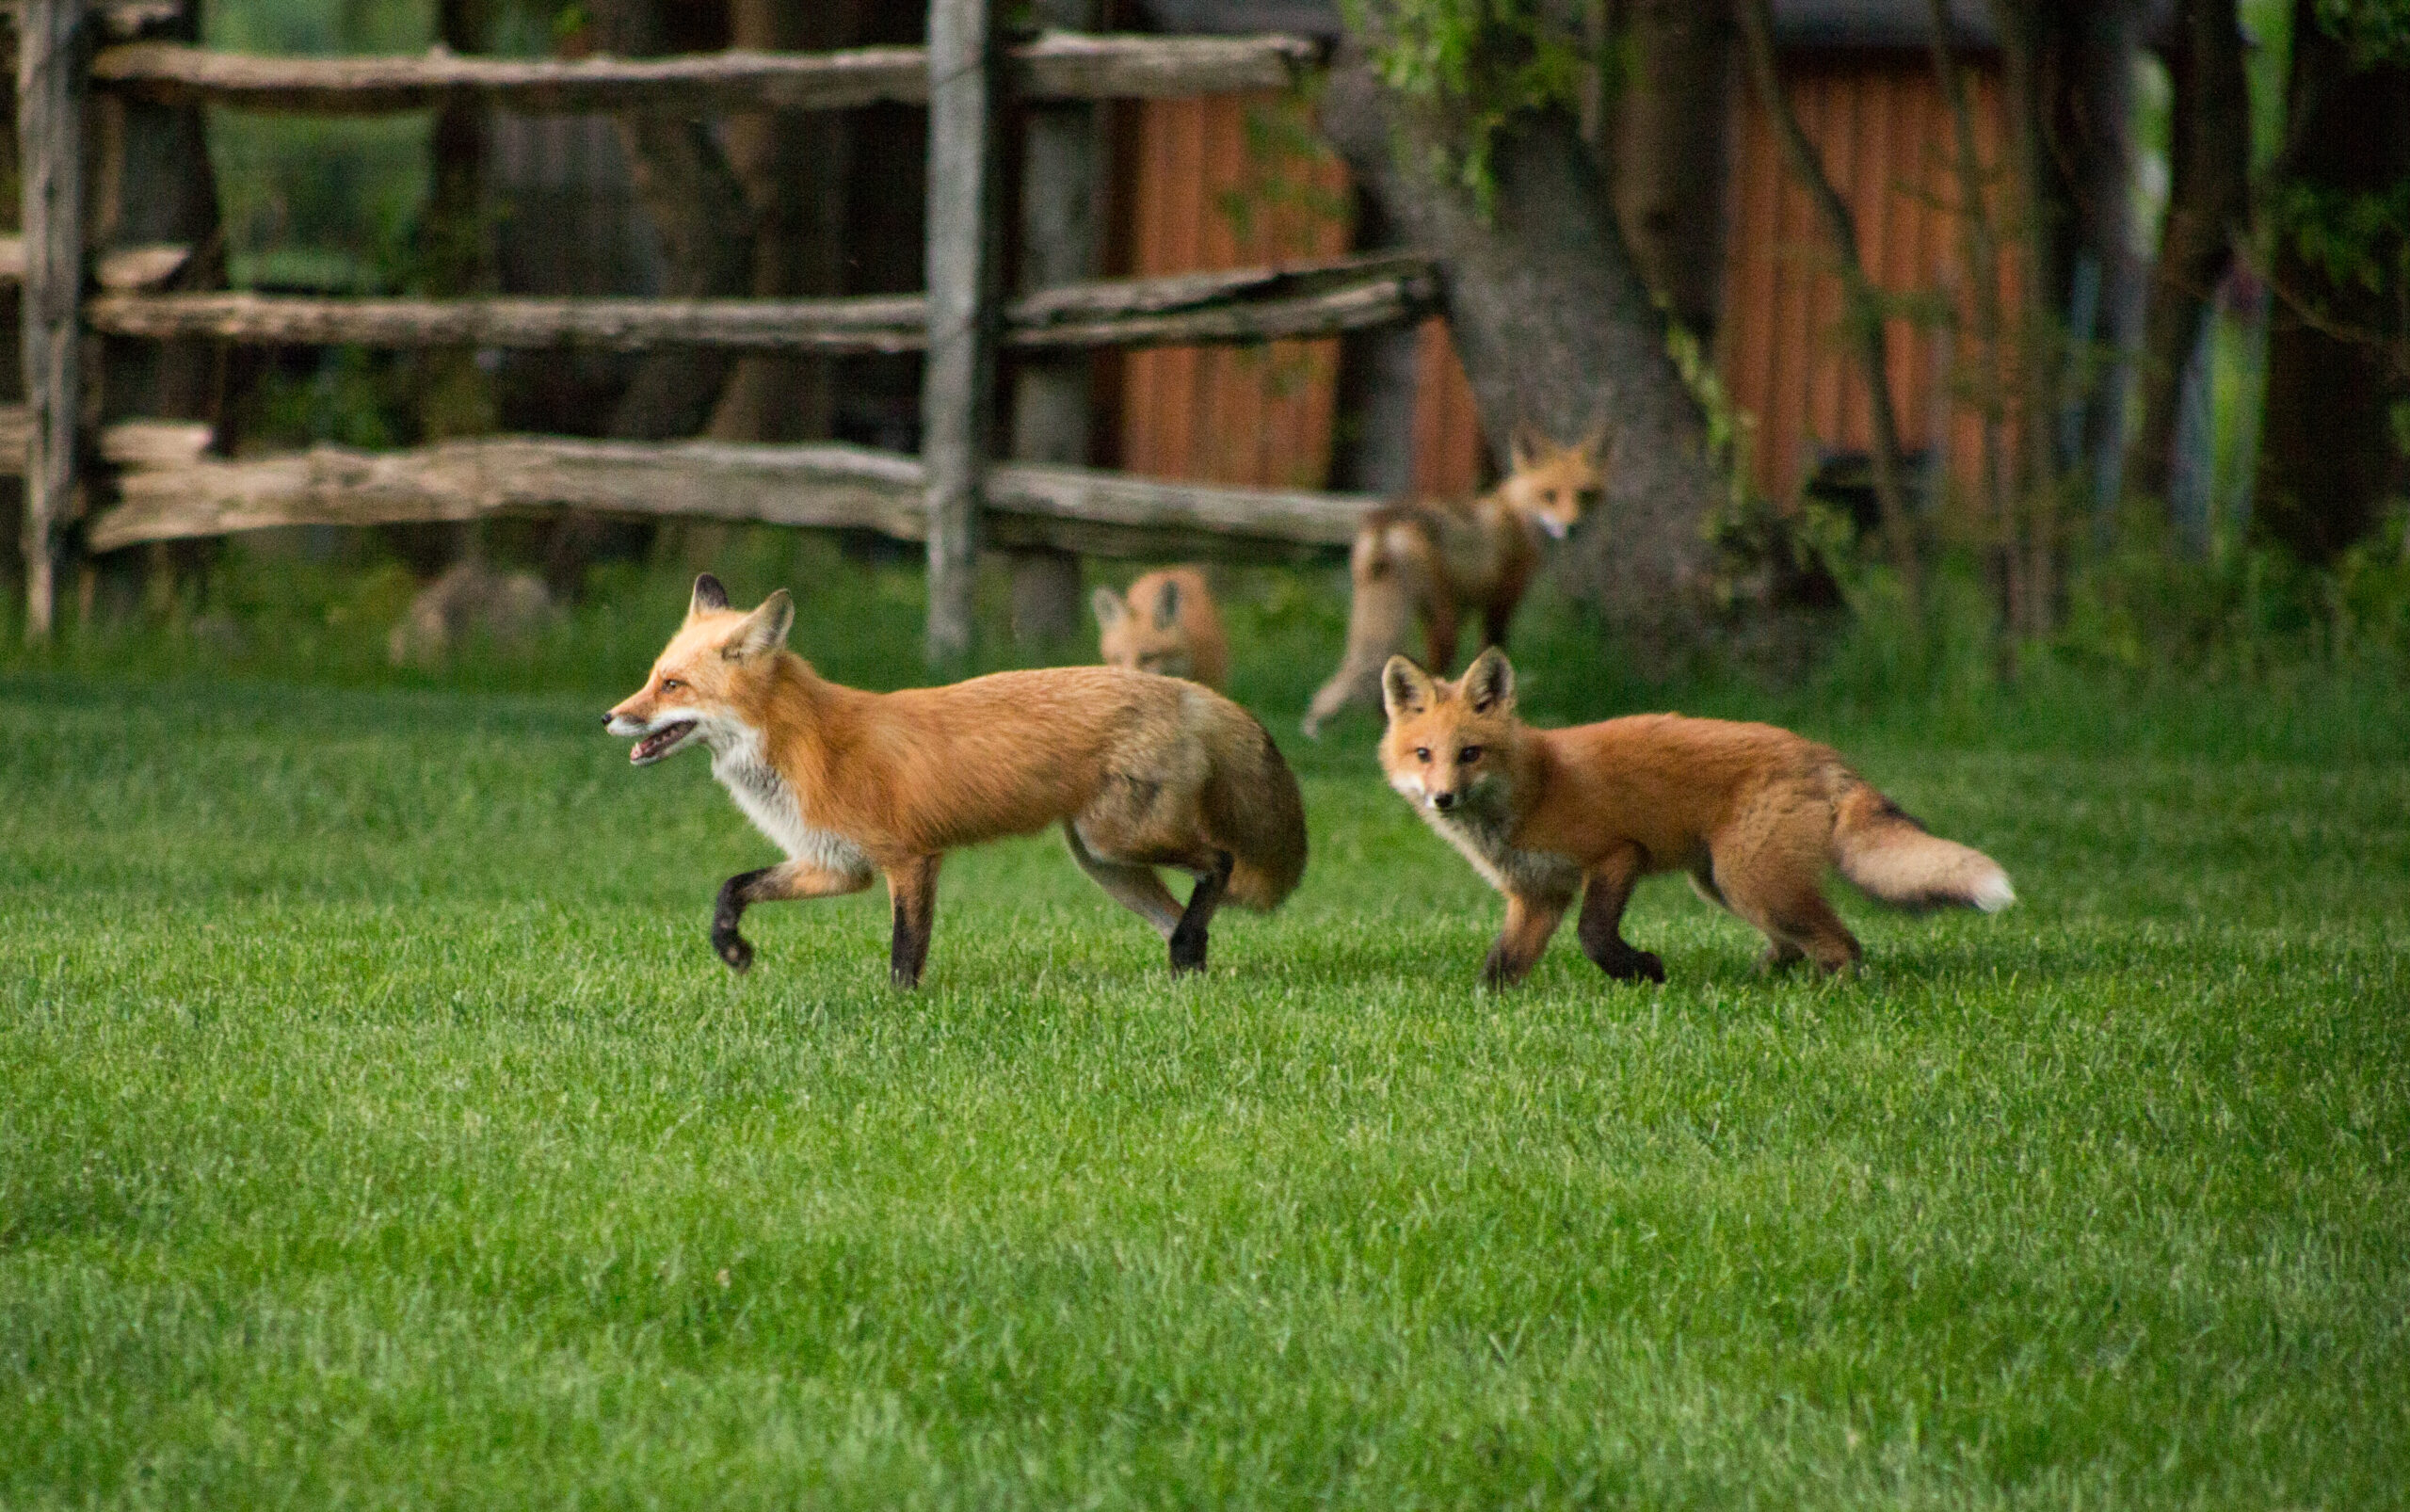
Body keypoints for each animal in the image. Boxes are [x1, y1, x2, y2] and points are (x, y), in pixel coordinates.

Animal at [1302, 423, 1608, 739]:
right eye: (1549, 494)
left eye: (1585, 494)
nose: (1571, 527)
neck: (1516, 513)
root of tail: (1388, 518)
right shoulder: (1501, 600)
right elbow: (1490, 651)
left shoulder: (1468, 605)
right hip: (1440, 615)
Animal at [1378, 647, 2014, 987]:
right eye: (1424, 755)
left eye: (1470, 754)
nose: (1442, 798)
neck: (1531, 790)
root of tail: (1822, 754)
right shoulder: (1537, 895)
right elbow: (1501, 964)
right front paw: (1488, 1010)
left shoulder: (1616, 855)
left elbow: (1593, 936)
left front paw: (1641, 971)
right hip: (1722, 883)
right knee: (1792, 945)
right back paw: (1757, 984)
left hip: (1751, 880)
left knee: (1842, 947)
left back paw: (1822, 996)